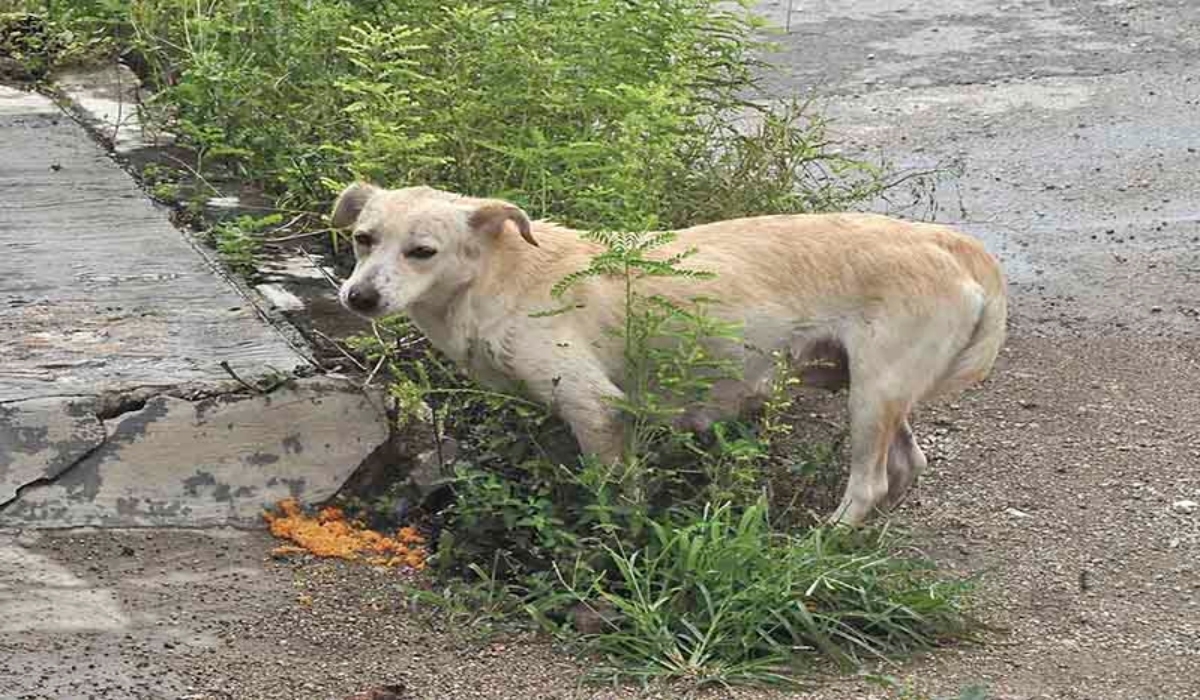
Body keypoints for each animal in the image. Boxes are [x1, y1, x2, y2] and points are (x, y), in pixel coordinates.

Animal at [333, 184, 1008, 525]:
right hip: (876, 391)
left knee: (869, 483)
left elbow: (616, 500)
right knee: (907, 465)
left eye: (422, 252)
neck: (505, 275)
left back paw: (816, 550)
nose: (357, 297)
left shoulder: (595, 409)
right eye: (363, 239)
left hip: (872, 393)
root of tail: (947, 241)